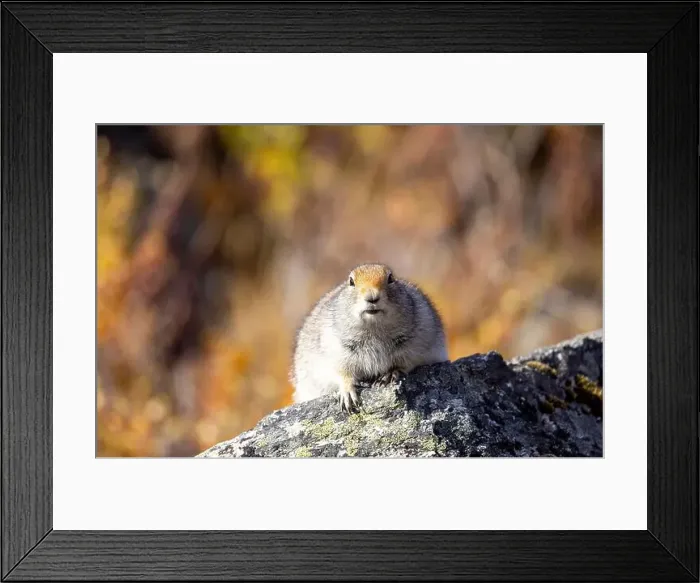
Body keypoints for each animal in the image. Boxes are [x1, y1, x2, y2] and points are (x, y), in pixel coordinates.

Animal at [290, 263, 449, 413]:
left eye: (391, 278)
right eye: (351, 281)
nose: (372, 297)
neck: (374, 329)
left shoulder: (419, 340)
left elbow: (407, 361)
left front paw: (390, 374)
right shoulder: (334, 349)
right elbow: (341, 372)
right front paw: (348, 395)